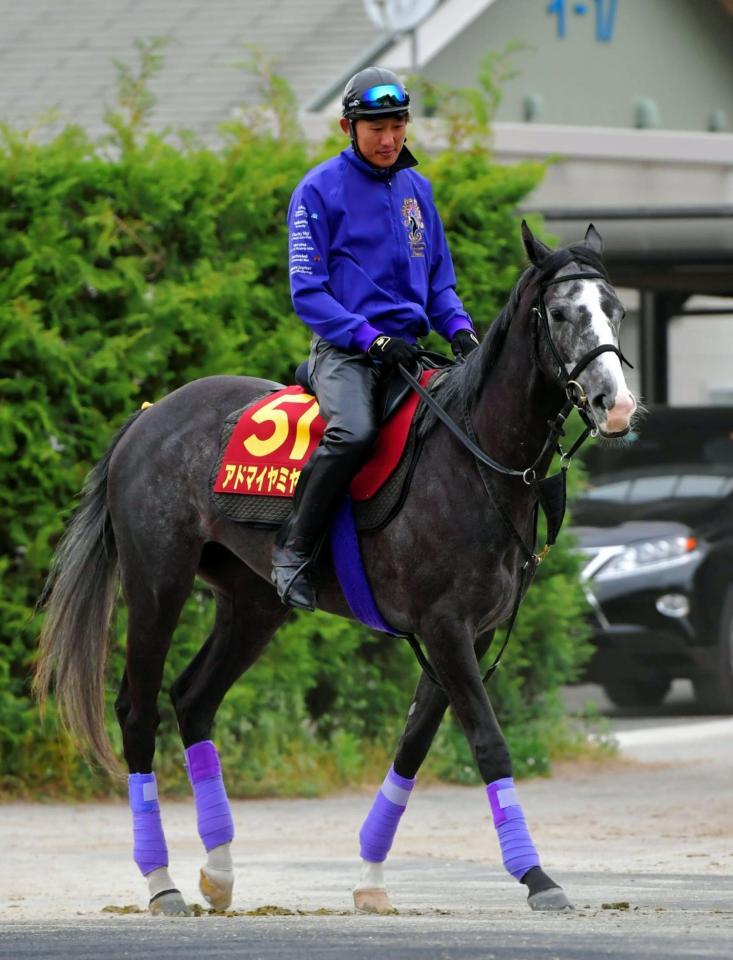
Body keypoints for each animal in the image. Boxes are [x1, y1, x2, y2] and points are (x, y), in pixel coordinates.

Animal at [35, 221, 636, 920]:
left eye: (617, 310)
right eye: (562, 313)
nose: (615, 405)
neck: (472, 459)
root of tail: (150, 414)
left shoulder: (470, 633)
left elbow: (413, 745)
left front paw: (372, 879)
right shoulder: (445, 629)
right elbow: (488, 742)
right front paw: (537, 876)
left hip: (254, 603)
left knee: (193, 699)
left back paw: (220, 871)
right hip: (158, 582)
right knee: (138, 710)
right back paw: (162, 883)